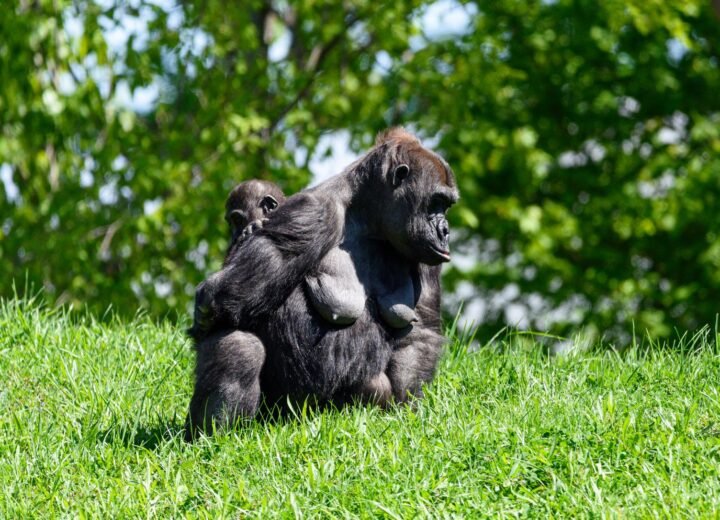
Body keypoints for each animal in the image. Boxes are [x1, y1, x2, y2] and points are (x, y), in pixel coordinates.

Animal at [187, 128, 457, 437]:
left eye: (446, 205)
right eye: (436, 202)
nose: (445, 231)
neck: (367, 216)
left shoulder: (422, 251)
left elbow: (421, 331)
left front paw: (407, 407)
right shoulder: (311, 212)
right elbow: (219, 299)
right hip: (279, 415)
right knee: (240, 345)